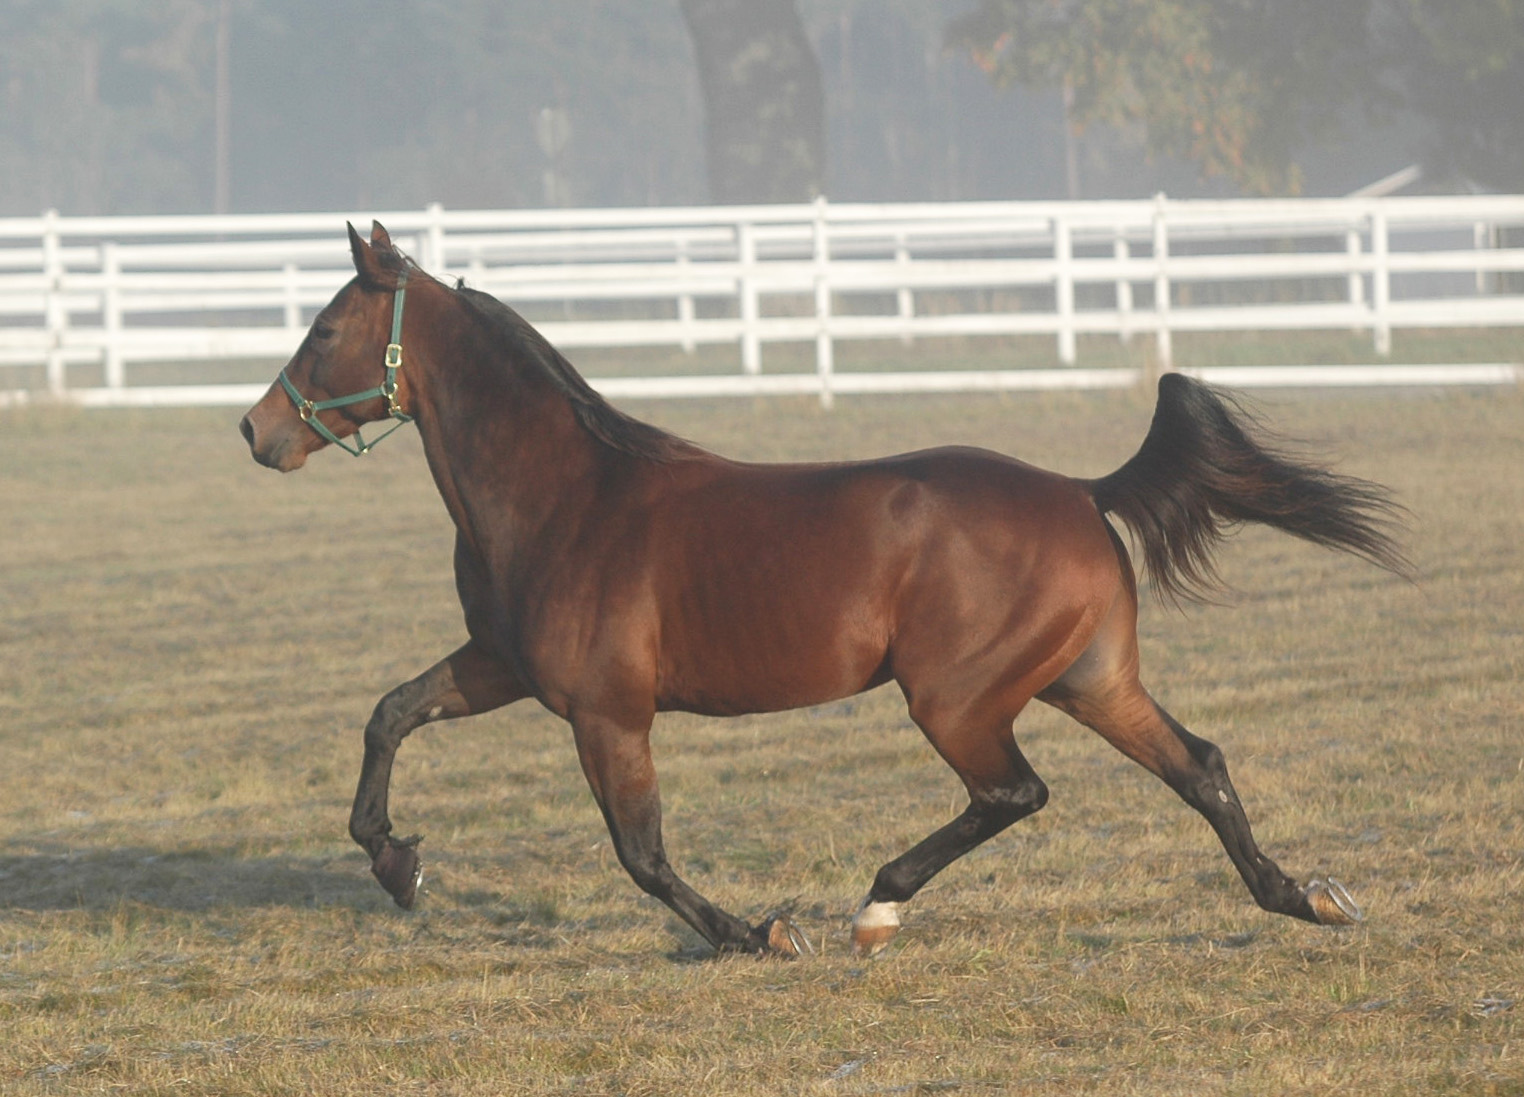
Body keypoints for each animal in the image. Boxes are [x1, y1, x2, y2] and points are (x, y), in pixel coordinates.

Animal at [237, 225, 1402, 962]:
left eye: (324, 330)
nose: (255, 429)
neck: (565, 494)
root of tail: (1079, 488)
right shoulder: (505, 667)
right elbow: (390, 711)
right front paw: (396, 862)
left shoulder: (608, 711)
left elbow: (641, 851)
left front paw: (762, 931)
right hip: (1089, 679)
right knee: (1199, 766)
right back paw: (1307, 898)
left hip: (957, 698)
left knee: (1014, 792)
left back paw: (877, 907)